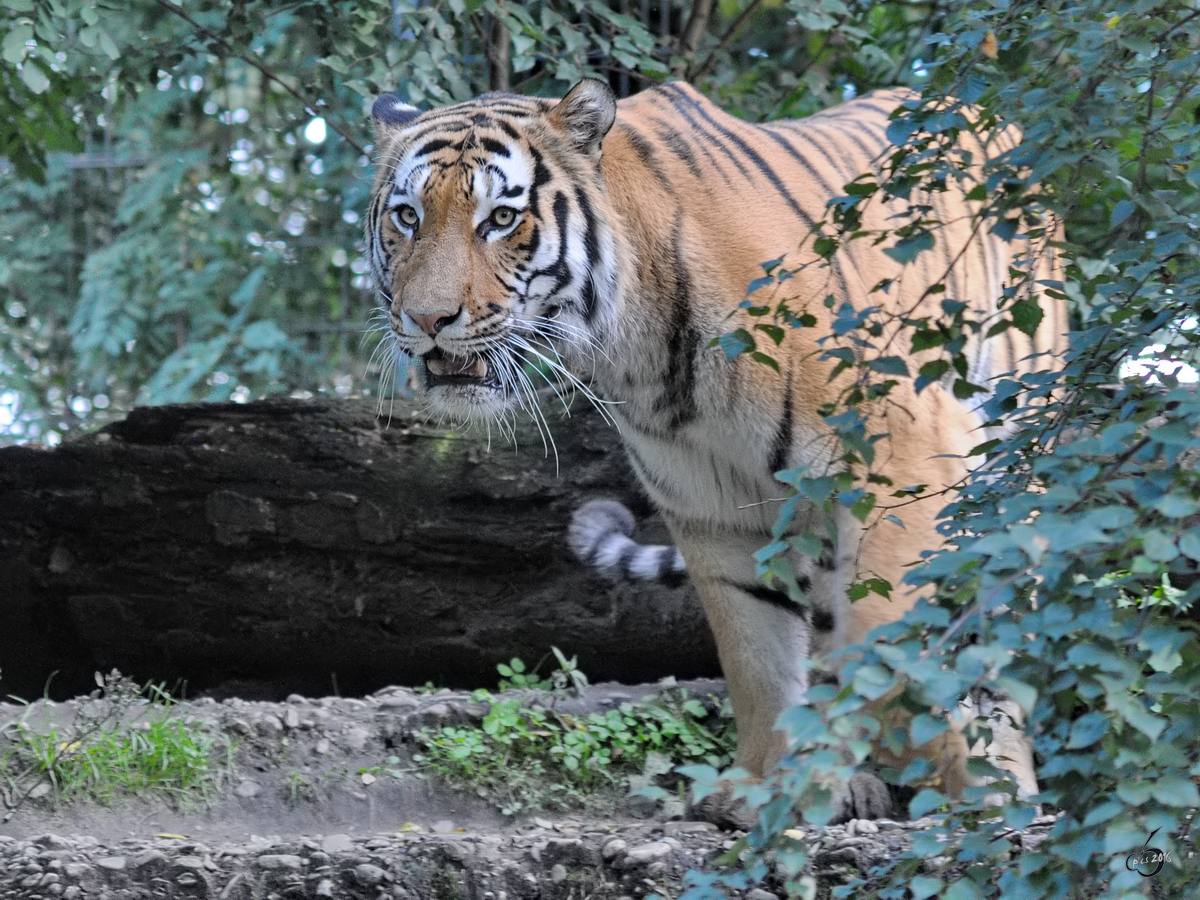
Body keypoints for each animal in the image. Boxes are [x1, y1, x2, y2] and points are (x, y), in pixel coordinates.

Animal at [364, 77, 1070, 825]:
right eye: (408, 216)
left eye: (500, 219)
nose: (427, 320)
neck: (639, 348)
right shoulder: (713, 507)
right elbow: (757, 655)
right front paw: (763, 787)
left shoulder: (907, 452)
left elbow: (888, 642)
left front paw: (947, 768)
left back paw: (1000, 783)